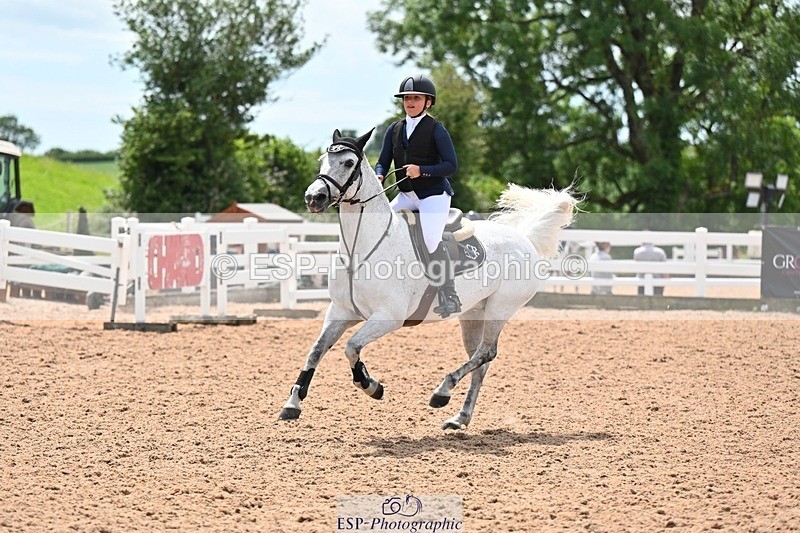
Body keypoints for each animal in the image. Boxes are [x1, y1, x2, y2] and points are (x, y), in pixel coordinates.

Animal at [278, 129, 578, 430]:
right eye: (322, 160)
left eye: (348, 163)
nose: (313, 198)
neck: (360, 248)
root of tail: (523, 238)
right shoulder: (340, 312)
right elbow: (316, 351)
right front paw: (292, 404)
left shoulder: (388, 317)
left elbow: (351, 348)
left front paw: (371, 386)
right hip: (473, 314)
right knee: (480, 362)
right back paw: (459, 418)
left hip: (500, 308)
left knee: (486, 353)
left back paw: (442, 392)